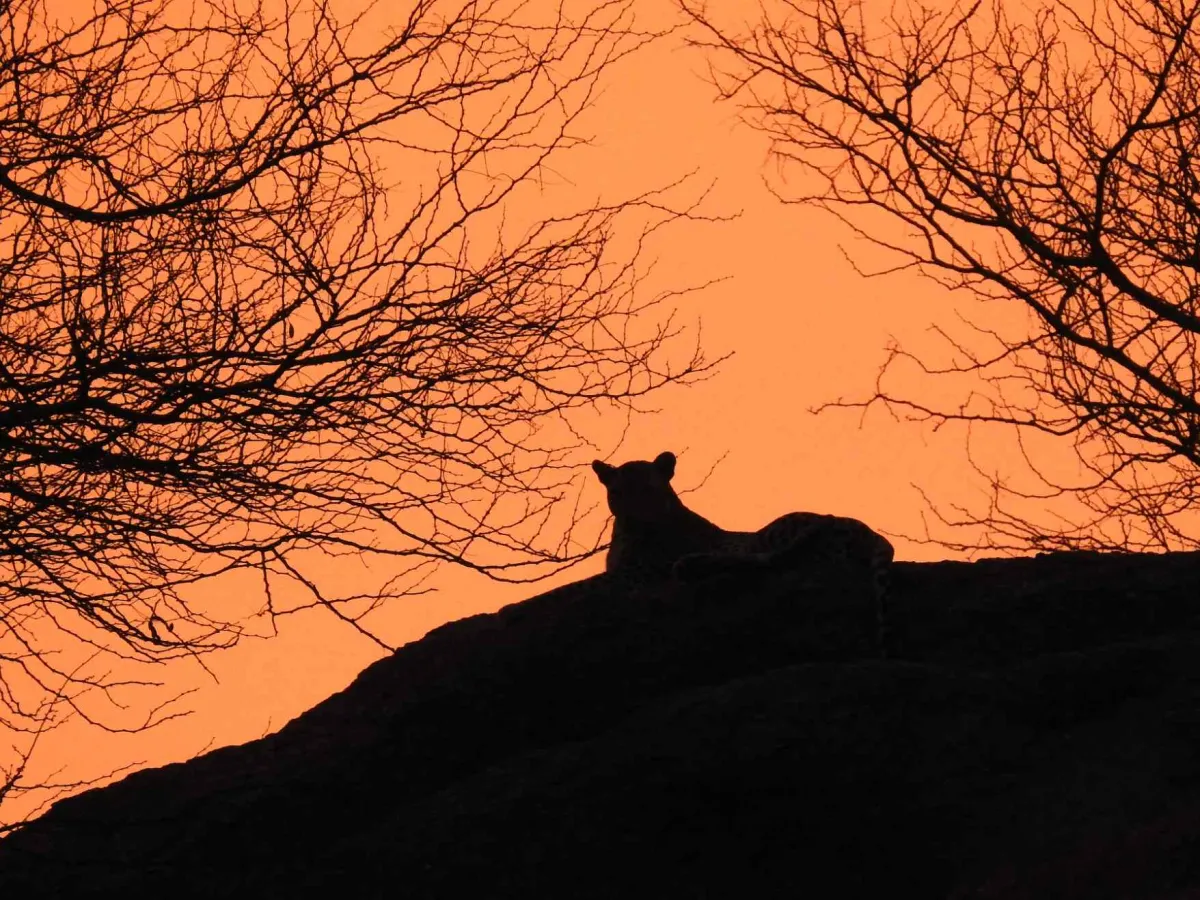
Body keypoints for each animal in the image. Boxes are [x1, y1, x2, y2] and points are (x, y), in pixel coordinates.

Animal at [592, 450, 896, 658]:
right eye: (617, 493)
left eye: (648, 489)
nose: (633, 516)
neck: (625, 533)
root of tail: (868, 531)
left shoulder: (639, 571)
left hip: (775, 532)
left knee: (767, 561)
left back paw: (691, 565)